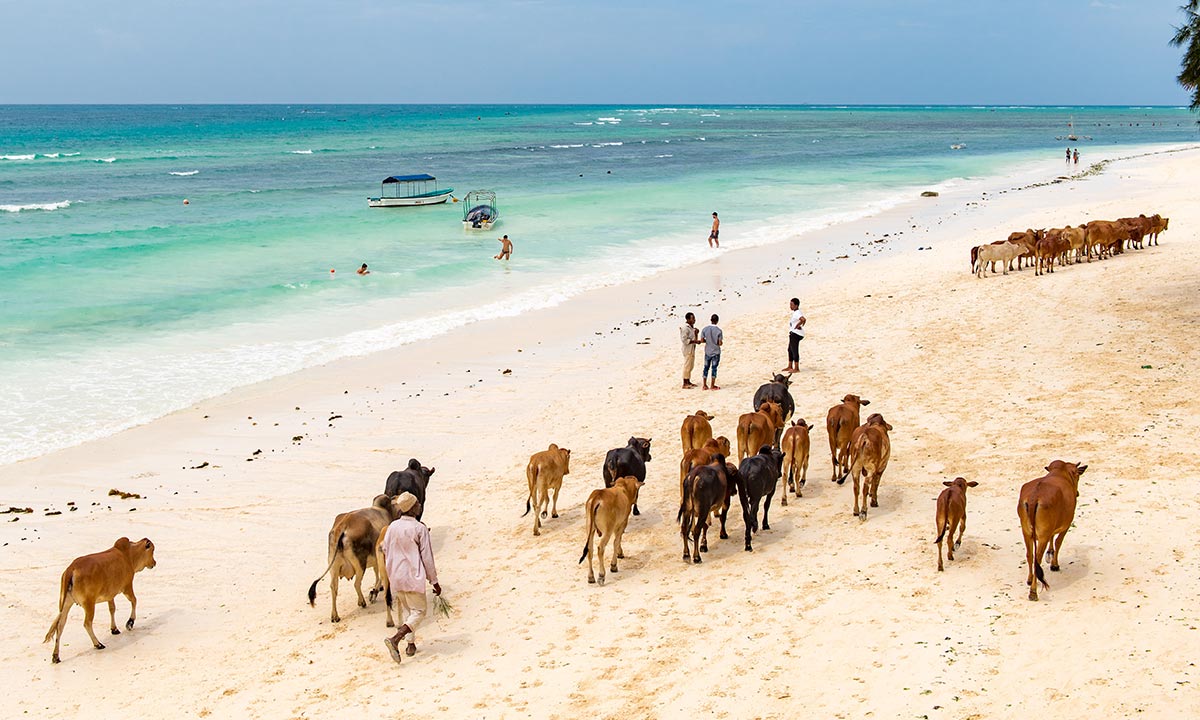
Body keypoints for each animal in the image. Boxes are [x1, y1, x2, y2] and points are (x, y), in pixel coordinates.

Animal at [307, 494, 405, 624]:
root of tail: (343, 525)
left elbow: (377, 573)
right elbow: (378, 575)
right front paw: (374, 591)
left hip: (334, 567)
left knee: (334, 587)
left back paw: (335, 616)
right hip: (360, 565)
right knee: (356, 583)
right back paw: (362, 602)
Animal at [1012, 460, 1089, 602]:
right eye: (1076, 475)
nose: (1077, 493)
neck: (1059, 473)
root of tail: (1034, 497)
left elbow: (1052, 539)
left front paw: (1050, 552)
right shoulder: (1066, 525)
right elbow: (1058, 542)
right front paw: (1054, 565)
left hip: (1026, 533)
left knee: (1029, 555)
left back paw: (1030, 580)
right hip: (1042, 536)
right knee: (1037, 560)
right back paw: (1033, 592)